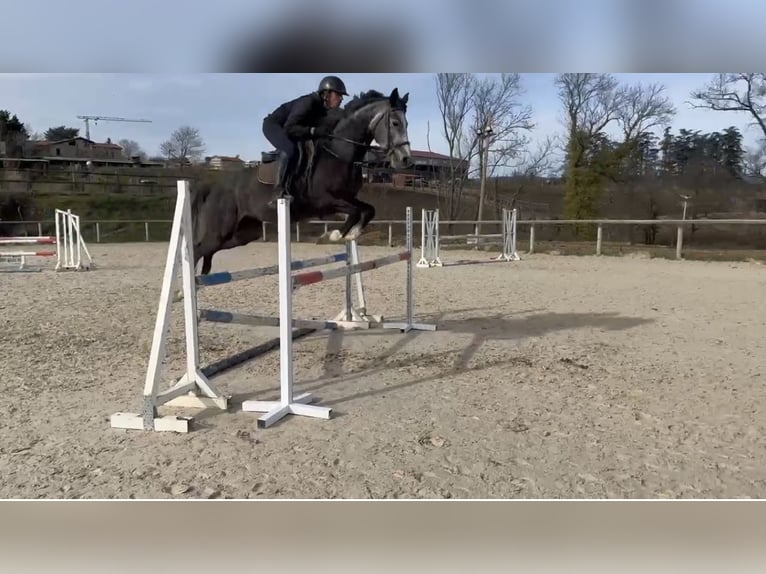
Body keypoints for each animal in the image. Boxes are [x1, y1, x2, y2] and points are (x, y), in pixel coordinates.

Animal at [189, 87, 413, 276]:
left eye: (407, 124)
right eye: (395, 123)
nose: (405, 159)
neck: (339, 153)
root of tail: (212, 186)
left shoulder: (346, 198)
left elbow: (367, 210)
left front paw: (347, 235)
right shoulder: (325, 201)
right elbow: (358, 212)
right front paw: (333, 236)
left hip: (242, 234)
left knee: (207, 252)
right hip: (220, 232)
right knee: (196, 251)